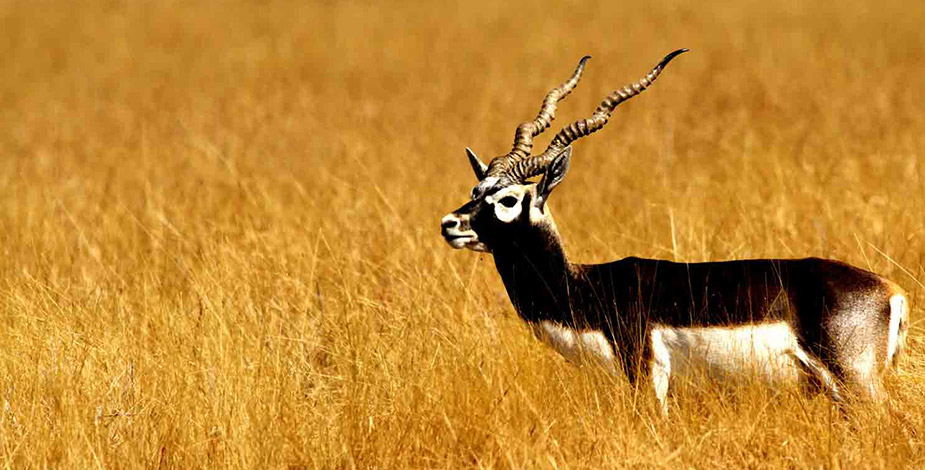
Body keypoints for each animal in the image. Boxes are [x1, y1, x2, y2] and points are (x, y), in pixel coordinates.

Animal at [440, 49, 908, 414]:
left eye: (508, 199)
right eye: (476, 190)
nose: (450, 224)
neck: (586, 288)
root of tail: (892, 292)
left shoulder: (648, 374)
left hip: (855, 382)